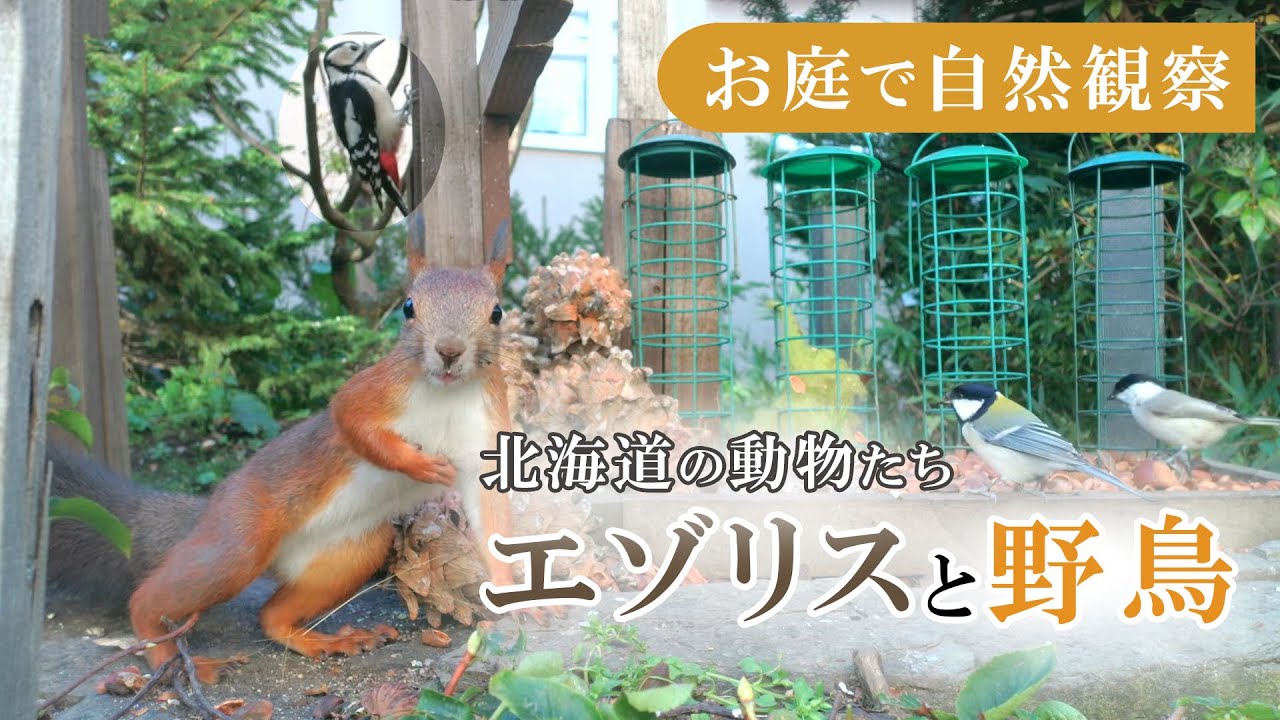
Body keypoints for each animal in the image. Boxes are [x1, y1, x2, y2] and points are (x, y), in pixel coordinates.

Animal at [46, 229, 520, 683]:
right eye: (408, 307)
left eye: (496, 312)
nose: (449, 350)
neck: (446, 393)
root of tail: (207, 513)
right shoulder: (374, 388)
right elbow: (351, 419)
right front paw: (420, 464)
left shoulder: (486, 434)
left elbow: (491, 518)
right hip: (238, 541)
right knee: (147, 600)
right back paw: (171, 658)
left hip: (351, 554)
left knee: (271, 616)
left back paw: (324, 640)